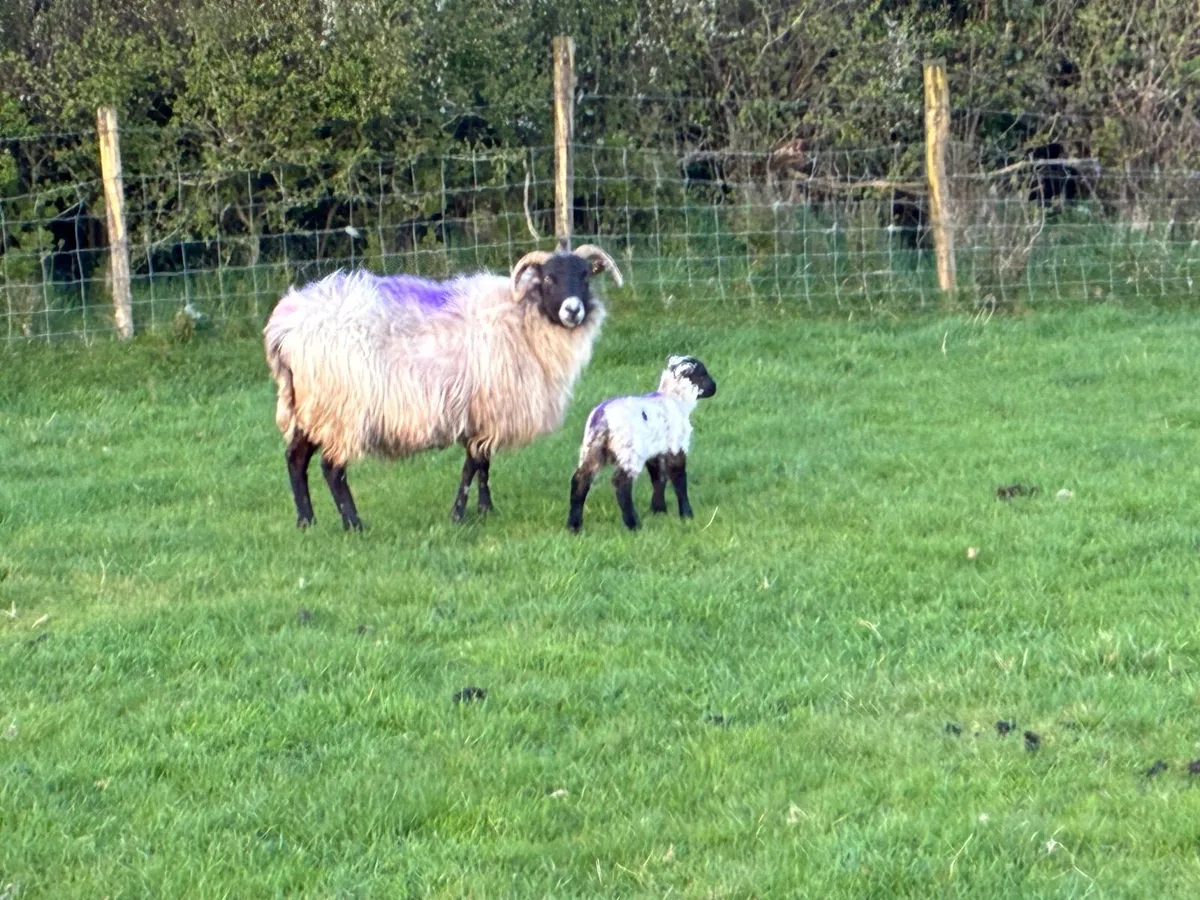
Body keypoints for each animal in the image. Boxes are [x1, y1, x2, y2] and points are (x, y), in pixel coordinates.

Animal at [263, 242, 624, 530]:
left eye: (586, 276)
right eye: (549, 278)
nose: (573, 310)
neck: (522, 319)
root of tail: (284, 327)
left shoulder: (482, 412)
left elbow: (483, 463)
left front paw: (486, 508)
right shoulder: (486, 406)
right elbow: (471, 466)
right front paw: (459, 515)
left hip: (309, 405)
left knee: (295, 459)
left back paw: (306, 521)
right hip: (340, 408)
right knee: (331, 468)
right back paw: (354, 524)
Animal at [567, 355, 716, 532]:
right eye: (703, 374)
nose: (715, 387)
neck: (675, 399)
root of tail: (602, 417)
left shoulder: (655, 451)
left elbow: (658, 478)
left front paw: (659, 510)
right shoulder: (676, 446)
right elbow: (679, 479)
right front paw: (686, 514)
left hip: (592, 450)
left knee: (580, 480)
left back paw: (574, 525)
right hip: (629, 451)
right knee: (621, 484)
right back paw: (633, 525)